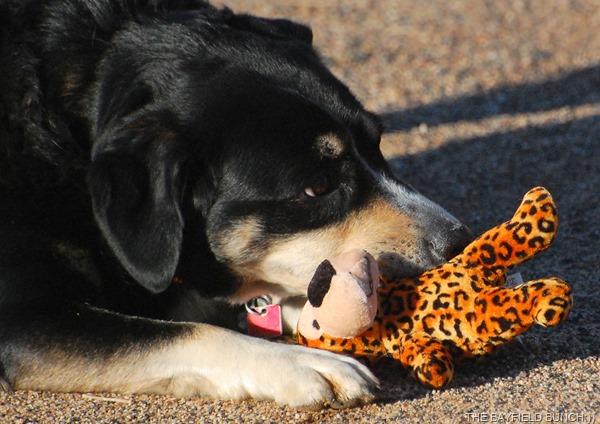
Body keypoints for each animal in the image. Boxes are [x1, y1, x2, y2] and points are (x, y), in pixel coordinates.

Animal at [0, 0, 472, 408]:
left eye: (377, 144)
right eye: (317, 187)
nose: (458, 241)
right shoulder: (20, 321)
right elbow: (184, 332)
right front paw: (306, 363)